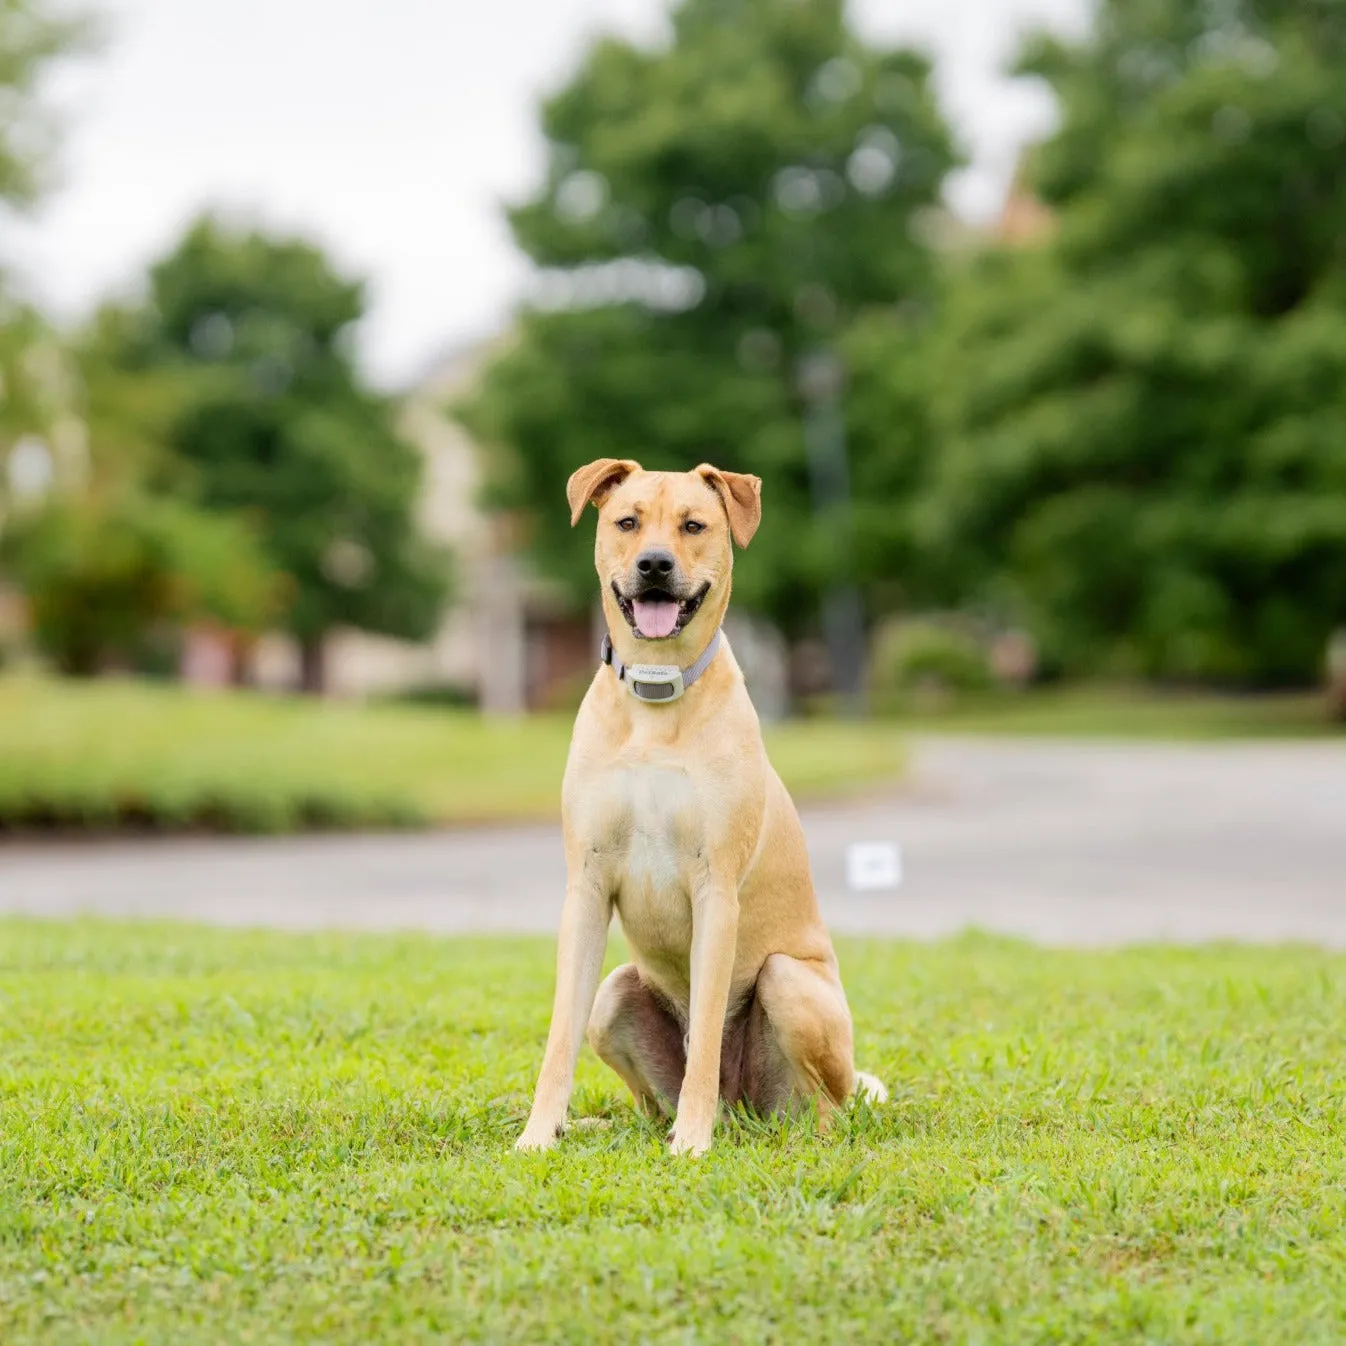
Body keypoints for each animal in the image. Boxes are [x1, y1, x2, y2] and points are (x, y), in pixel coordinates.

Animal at [514, 463, 882, 1157]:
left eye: (693, 525)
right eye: (627, 521)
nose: (655, 564)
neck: (656, 697)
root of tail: (745, 1112)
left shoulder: (717, 890)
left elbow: (708, 1030)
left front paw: (691, 1140)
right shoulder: (587, 886)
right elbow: (557, 1037)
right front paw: (539, 1133)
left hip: (789, 983)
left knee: (825, 1107)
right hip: (615, 993)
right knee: (642, 1095)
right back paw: (608, 1124)